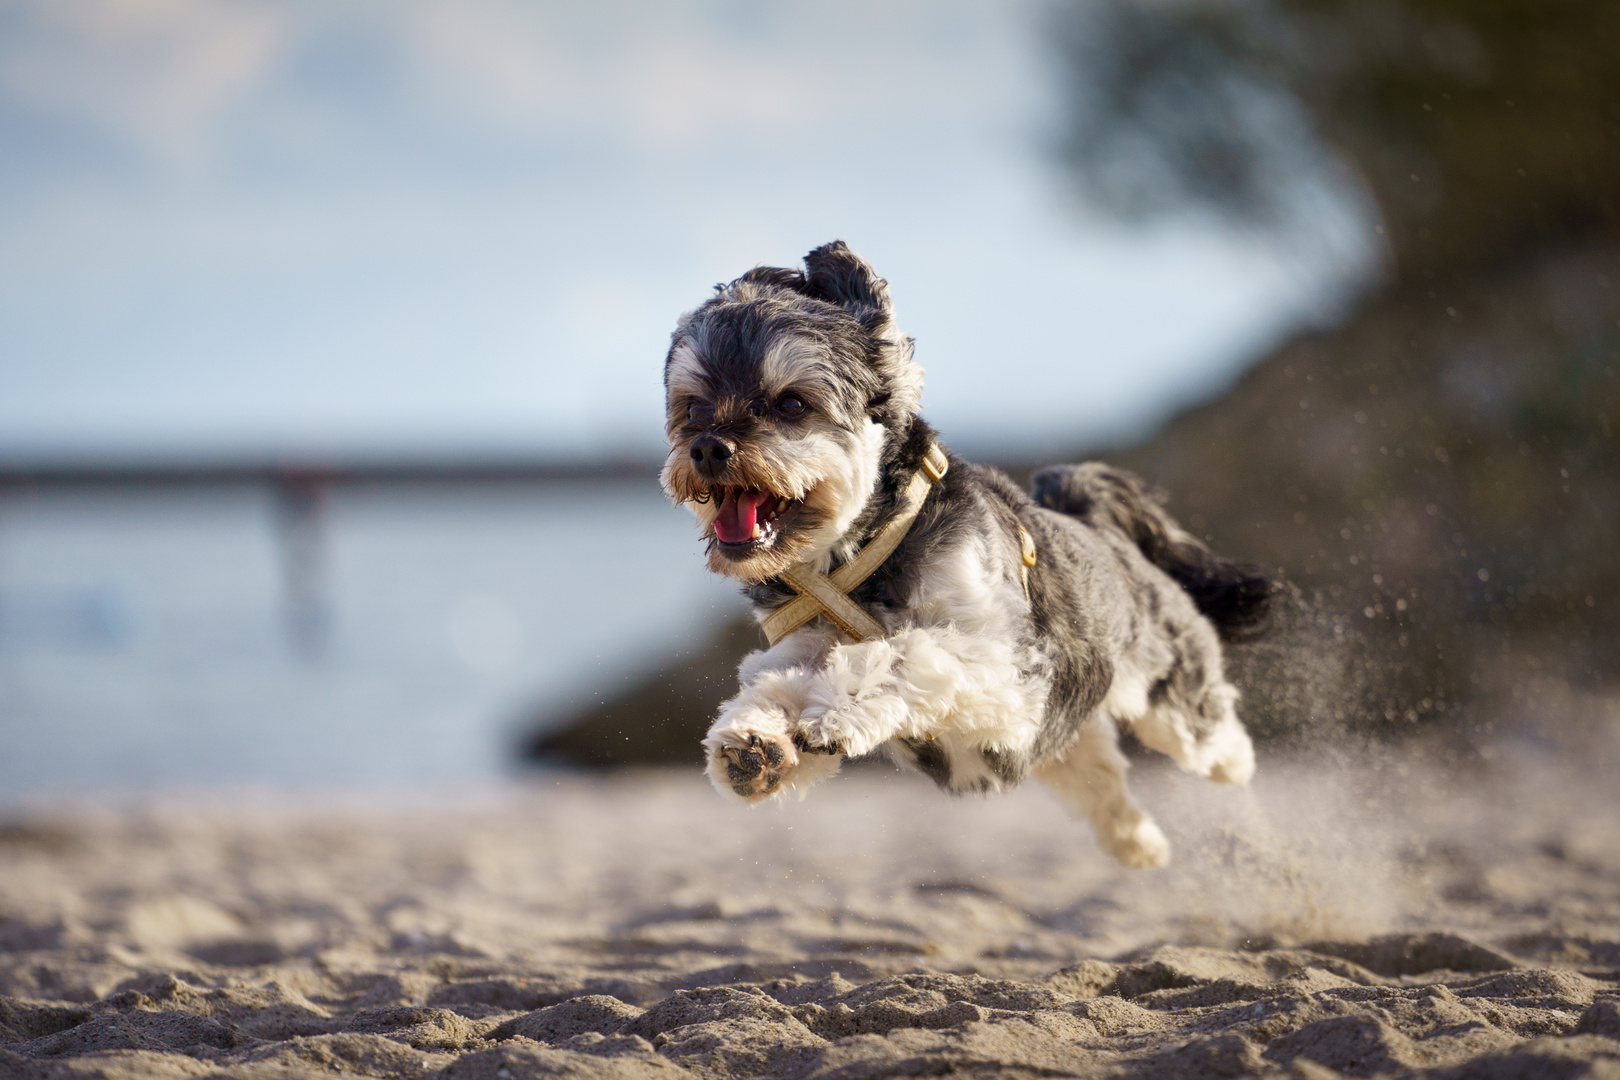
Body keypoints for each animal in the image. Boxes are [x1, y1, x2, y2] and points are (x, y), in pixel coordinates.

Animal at [654, 241, 1263, 867]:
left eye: (791, 404)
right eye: (692, 409)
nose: (708, 448)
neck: (864, 559)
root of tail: (1103, 529)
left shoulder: (1010, 670)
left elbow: (905, 652)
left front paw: (842, 707)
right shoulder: (805, 641)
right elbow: (778, 679)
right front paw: (758, 740)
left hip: (1171, 695)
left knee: (1208, 737)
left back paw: (1237, 773)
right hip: (1061, 743)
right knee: (1098, 777)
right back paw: (1138, 844)